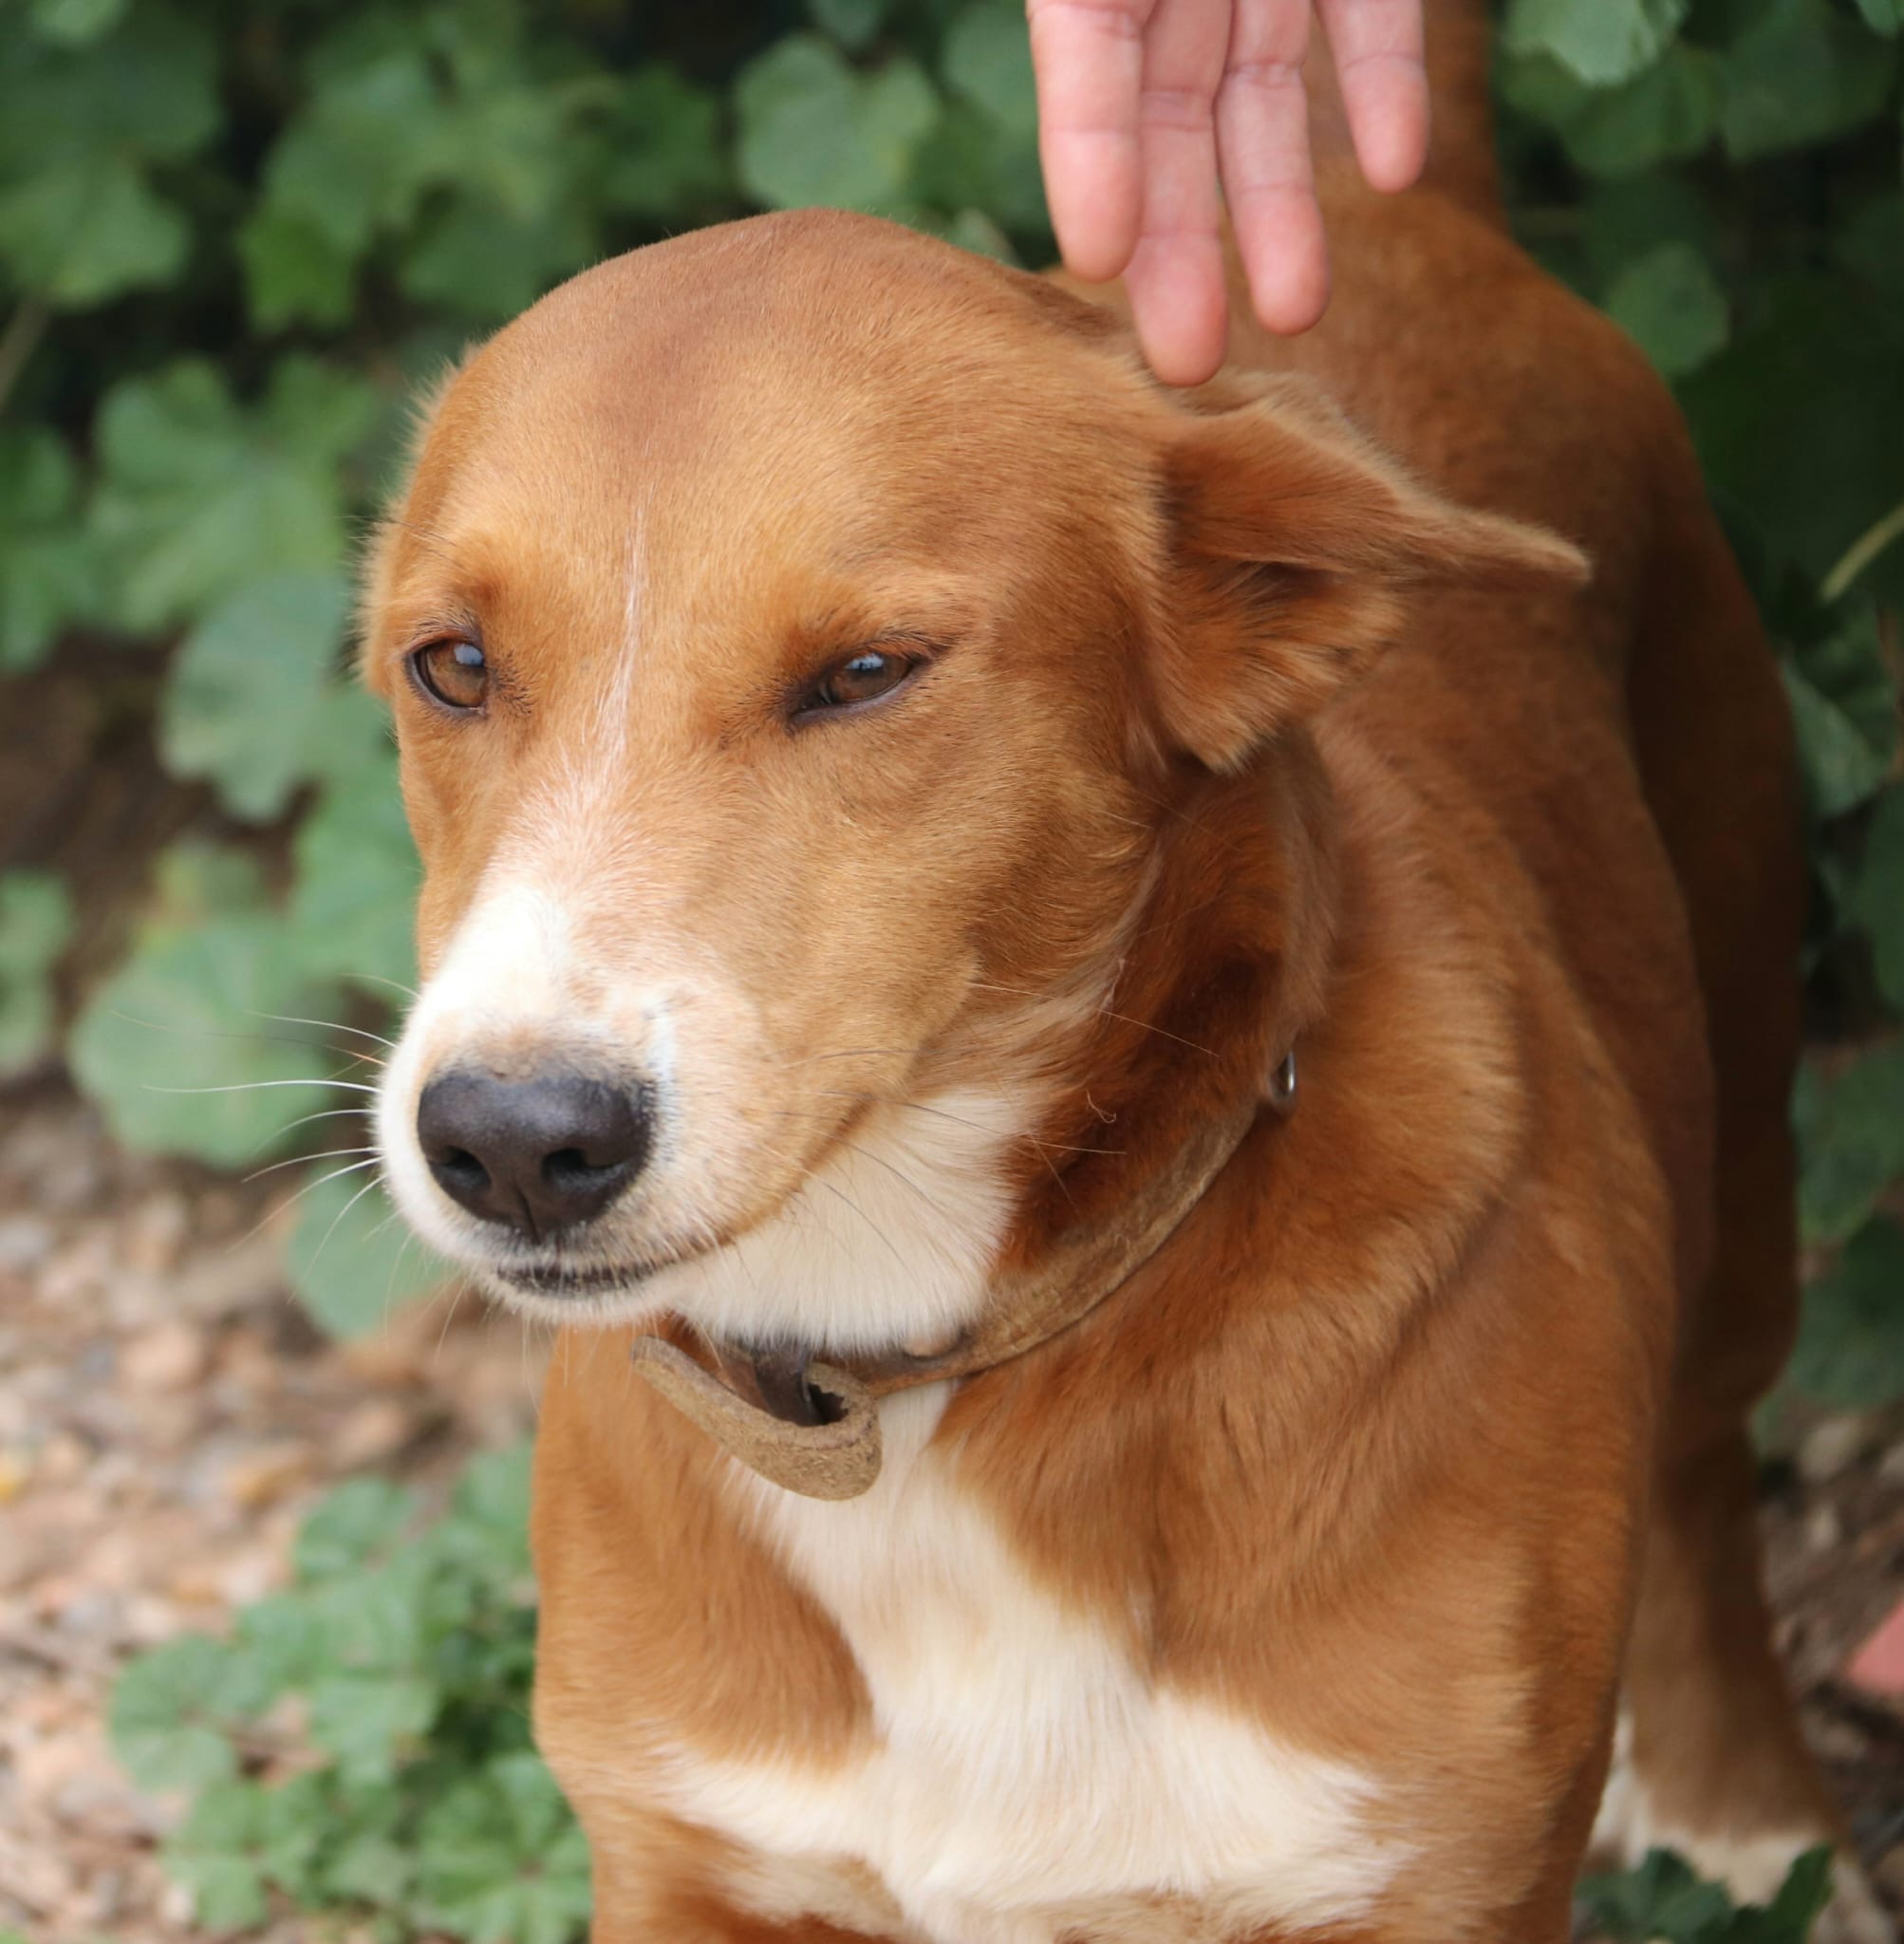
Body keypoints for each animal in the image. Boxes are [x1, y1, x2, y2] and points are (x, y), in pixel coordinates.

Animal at [361, 6, 1887, 1938]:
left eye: (867, 672)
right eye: (453, 663)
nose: (510, 1139)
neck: (926, 1381)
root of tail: (1357, 196)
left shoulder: (1429, 1876)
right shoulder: (686, 1856)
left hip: (1746, 1073)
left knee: (1706, 1461)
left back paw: (1750, 1812)